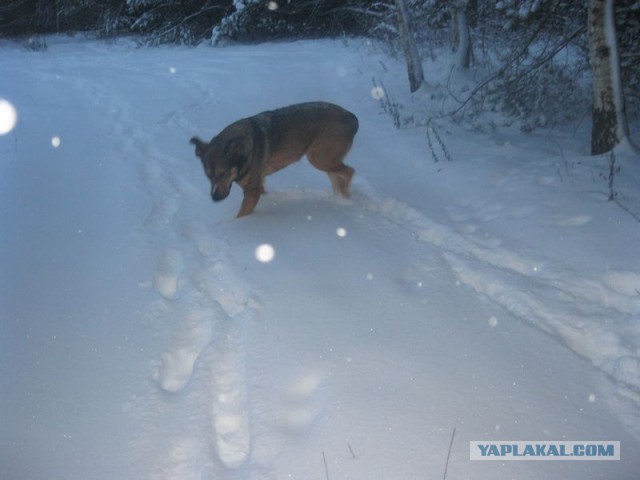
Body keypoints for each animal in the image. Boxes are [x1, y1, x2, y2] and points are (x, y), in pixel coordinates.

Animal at [190, 102, 360, 217]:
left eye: (223, 173)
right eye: (208, 176)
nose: (214, 198)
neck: (242, 154)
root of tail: (352, 118)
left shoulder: (252, 190)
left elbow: (241, 215)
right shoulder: (259, 183)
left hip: (319, 158)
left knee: (349, 171)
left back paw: (346, 199)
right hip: (324, 159)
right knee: (337, 177)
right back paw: (339, 199)